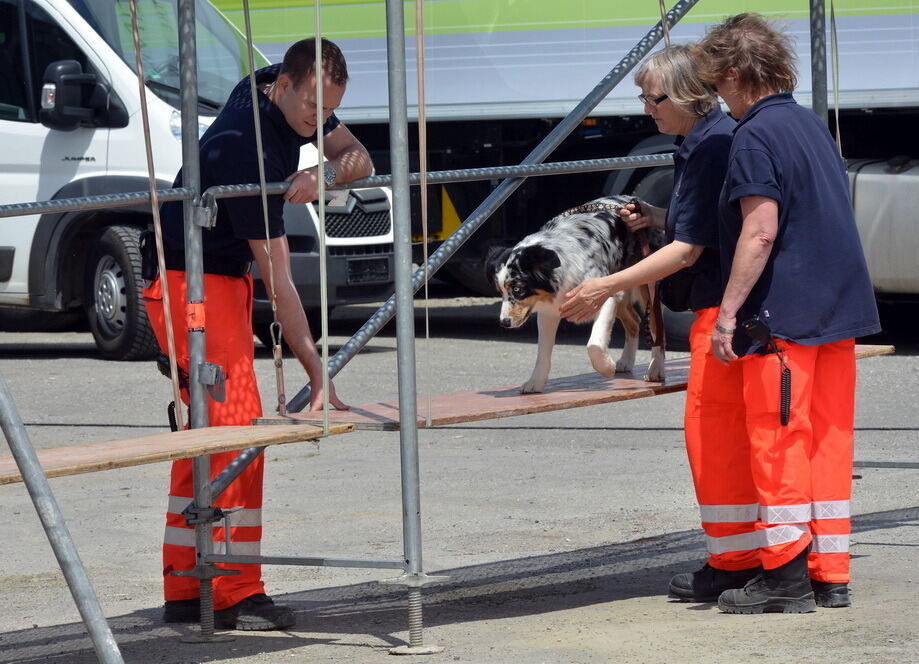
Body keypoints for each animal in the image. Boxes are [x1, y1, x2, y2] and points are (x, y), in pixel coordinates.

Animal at [488, 196, 668, 394]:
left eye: (518, 289)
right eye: (500, 292)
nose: (504, 323)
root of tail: (634, 200)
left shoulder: (604, 295)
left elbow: (594, 345)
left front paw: (606, 367)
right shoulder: (549, 312)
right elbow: (542, 352)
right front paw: (536, 382)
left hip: (647, 285)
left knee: (656, 328)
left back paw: (655, 369)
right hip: (621, 282)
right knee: (634, 322)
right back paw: (626, 361)